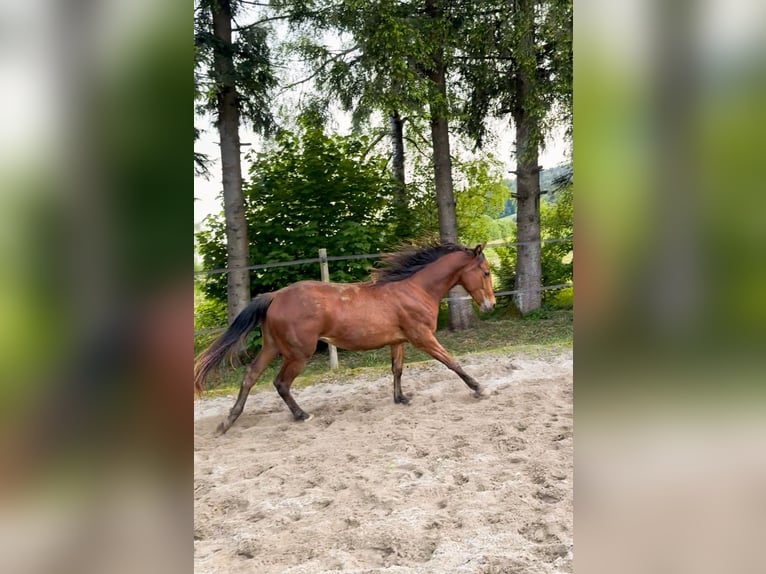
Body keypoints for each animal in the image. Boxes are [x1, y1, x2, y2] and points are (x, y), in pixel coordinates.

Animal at [194, 242, 496, 434]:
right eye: (486, 271)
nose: (490, 305)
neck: (415, 290)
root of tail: (275, 296)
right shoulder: (422, 337)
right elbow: (451, 362)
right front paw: (479, 388)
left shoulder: (397, 341)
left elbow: (397, 369)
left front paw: (401, 398)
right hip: (297, 353)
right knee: (280, 383)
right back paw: (302, 415)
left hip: (271, 346)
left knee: (250, 377)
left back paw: (227, 422)